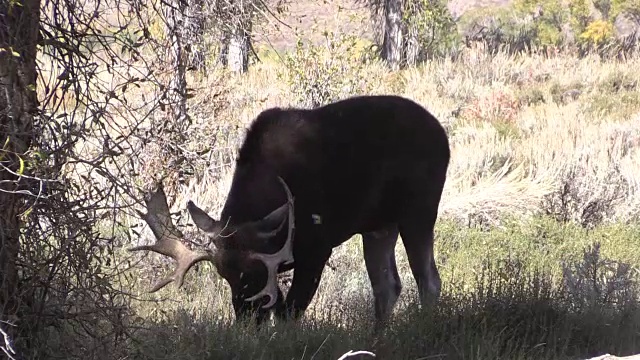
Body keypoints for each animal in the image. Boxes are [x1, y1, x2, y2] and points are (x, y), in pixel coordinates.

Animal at [130, 94, 450, 328]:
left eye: (255, 274)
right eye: (224, 275)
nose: (247, 320)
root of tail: (443, 137)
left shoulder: (317, 247)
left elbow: (289, 310)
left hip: (419, 211)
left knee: (429, 281)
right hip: (378, 226)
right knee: (388, 287)